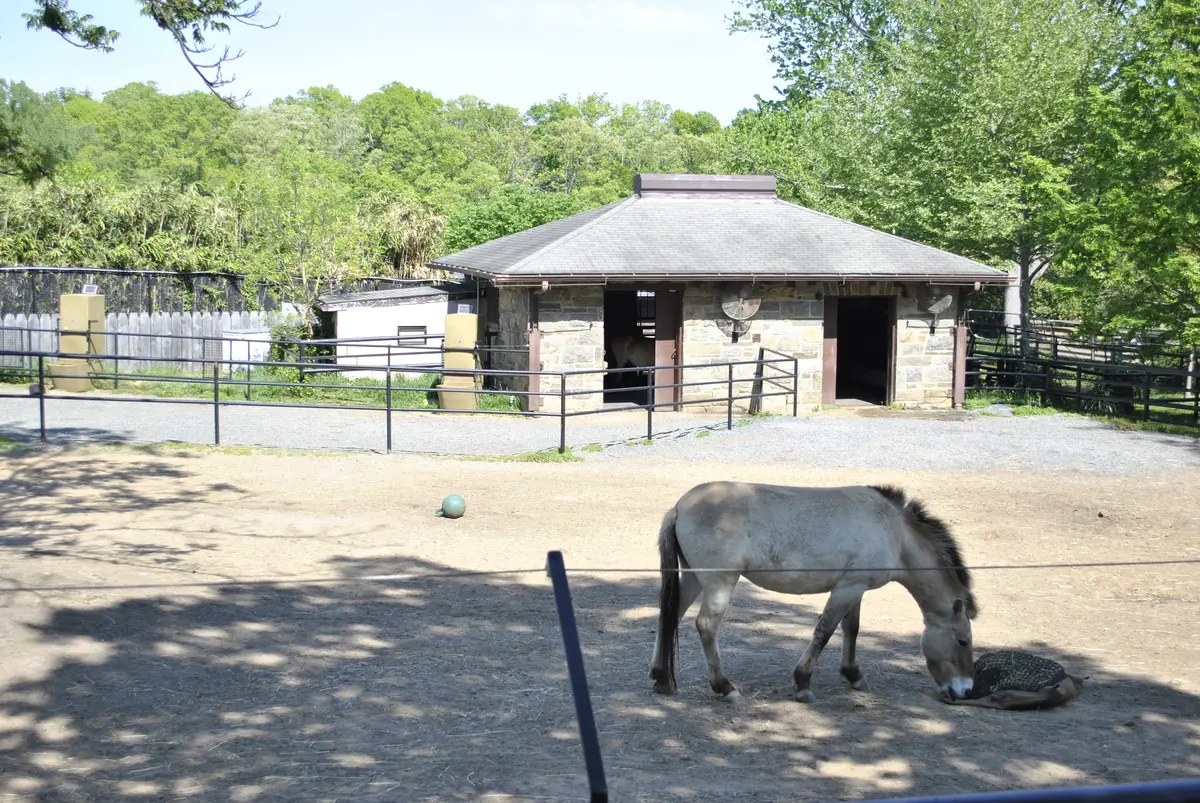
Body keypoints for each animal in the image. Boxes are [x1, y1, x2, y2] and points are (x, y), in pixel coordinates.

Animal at [649, 482, 979, 703]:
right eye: (963, 641)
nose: (965, 690)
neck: (893, 532)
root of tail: (680, 507)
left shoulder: (855, 588)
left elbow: (851, 629)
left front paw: (853, 675)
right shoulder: (846, 590)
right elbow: (824, 631)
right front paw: (803, 684)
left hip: (692, 579)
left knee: (670, 616)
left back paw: (662, 678)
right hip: (719, 584)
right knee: (706, 626)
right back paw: (725, 687)